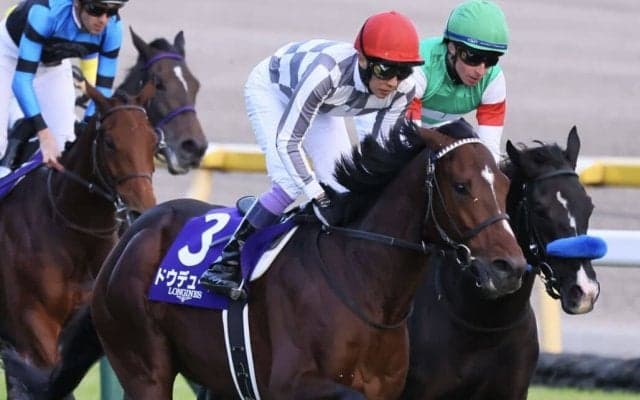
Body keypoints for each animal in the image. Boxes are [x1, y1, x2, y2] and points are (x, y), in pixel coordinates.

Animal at [79, 119, 526, 399]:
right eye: (462, 186)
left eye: (506, 186)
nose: (509, 267)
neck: (362, 281)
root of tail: (135, 230)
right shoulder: (289, 384)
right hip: (143, 366)